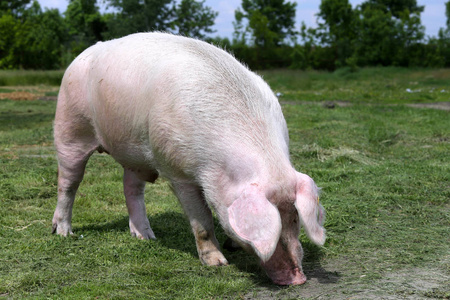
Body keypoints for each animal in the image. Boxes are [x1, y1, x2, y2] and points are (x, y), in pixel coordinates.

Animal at [52, 32, 326, 286]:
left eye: (295, 217)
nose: (298, 278)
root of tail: (82, 55)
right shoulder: (178, 171)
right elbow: (202, 220)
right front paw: (218, 264)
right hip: (70, 126)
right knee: (69, 182)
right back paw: (63, 233)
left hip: (134, 152)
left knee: (131, 188)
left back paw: (146, 237)